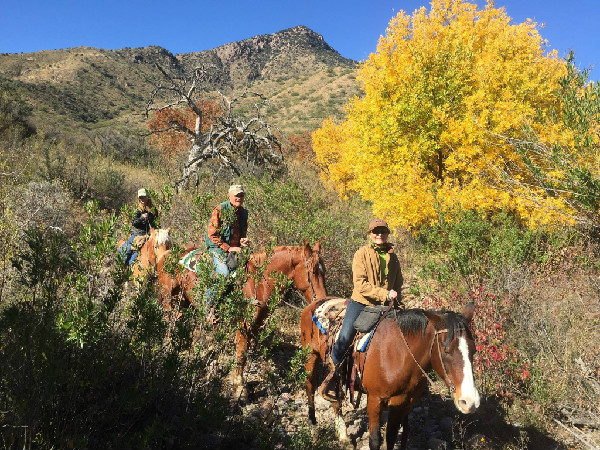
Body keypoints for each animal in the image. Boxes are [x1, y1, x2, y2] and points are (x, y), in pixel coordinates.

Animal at [300, 298, 482, 450]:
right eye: (446, 351)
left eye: (474, 350)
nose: (470, 402)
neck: (400, 355)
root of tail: (314, 303)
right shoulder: (375, 400)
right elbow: (374, 440)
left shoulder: (403, 403)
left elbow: (391, 438)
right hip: (311, 356)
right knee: (311, 386)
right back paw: (313, 423)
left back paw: (343, 435)